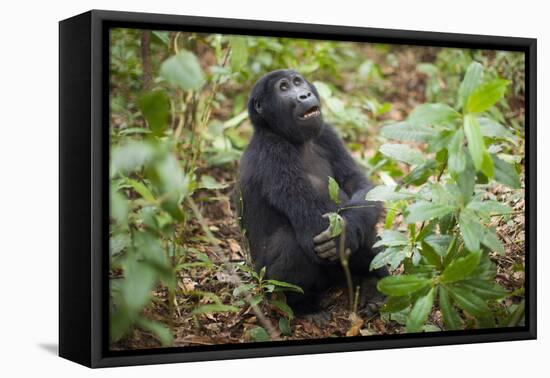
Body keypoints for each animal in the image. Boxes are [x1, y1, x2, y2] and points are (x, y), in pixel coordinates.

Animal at [239, 69, 390, 314]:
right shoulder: (274, 153)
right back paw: (302, 307)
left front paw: (349, 229)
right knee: (290, 243)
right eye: (283, 88)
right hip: (267, 283)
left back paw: (372, 285)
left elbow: (359, 186)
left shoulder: (327, 133)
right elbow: (312, 225)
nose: (304, 94)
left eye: (297, 82)